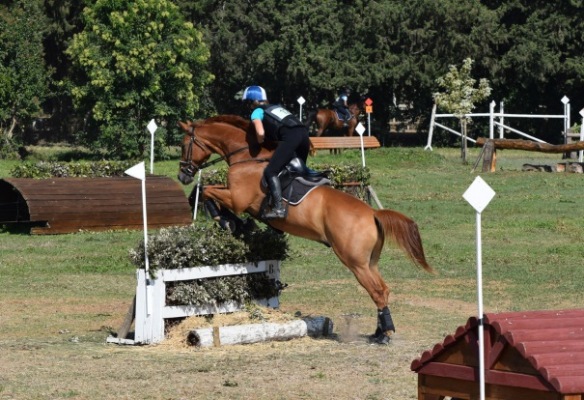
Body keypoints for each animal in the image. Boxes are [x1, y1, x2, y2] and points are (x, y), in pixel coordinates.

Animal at [176, 115, 432, 344]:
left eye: (184, 145)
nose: (182, 175)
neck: (246, 157)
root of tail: (372, 213)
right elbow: (205, 191)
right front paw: (238, 223)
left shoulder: (238, 199)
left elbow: (207, 191)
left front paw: (228, 221)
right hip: (369, 262)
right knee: (383, 290)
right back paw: (379, 332)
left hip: (354, 261)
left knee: (377, 291)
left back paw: (384, 336)